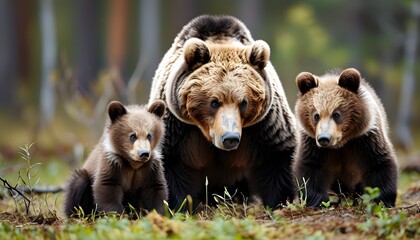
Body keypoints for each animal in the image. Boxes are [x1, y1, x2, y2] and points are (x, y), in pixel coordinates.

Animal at [149, 15, 296, 210]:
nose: (230, 138)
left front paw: (278, 202)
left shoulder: (264, 126)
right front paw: (181, 205)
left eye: (243, 102)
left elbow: (275, 159)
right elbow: (172, 166)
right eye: (214, 102)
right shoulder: (178, 128)